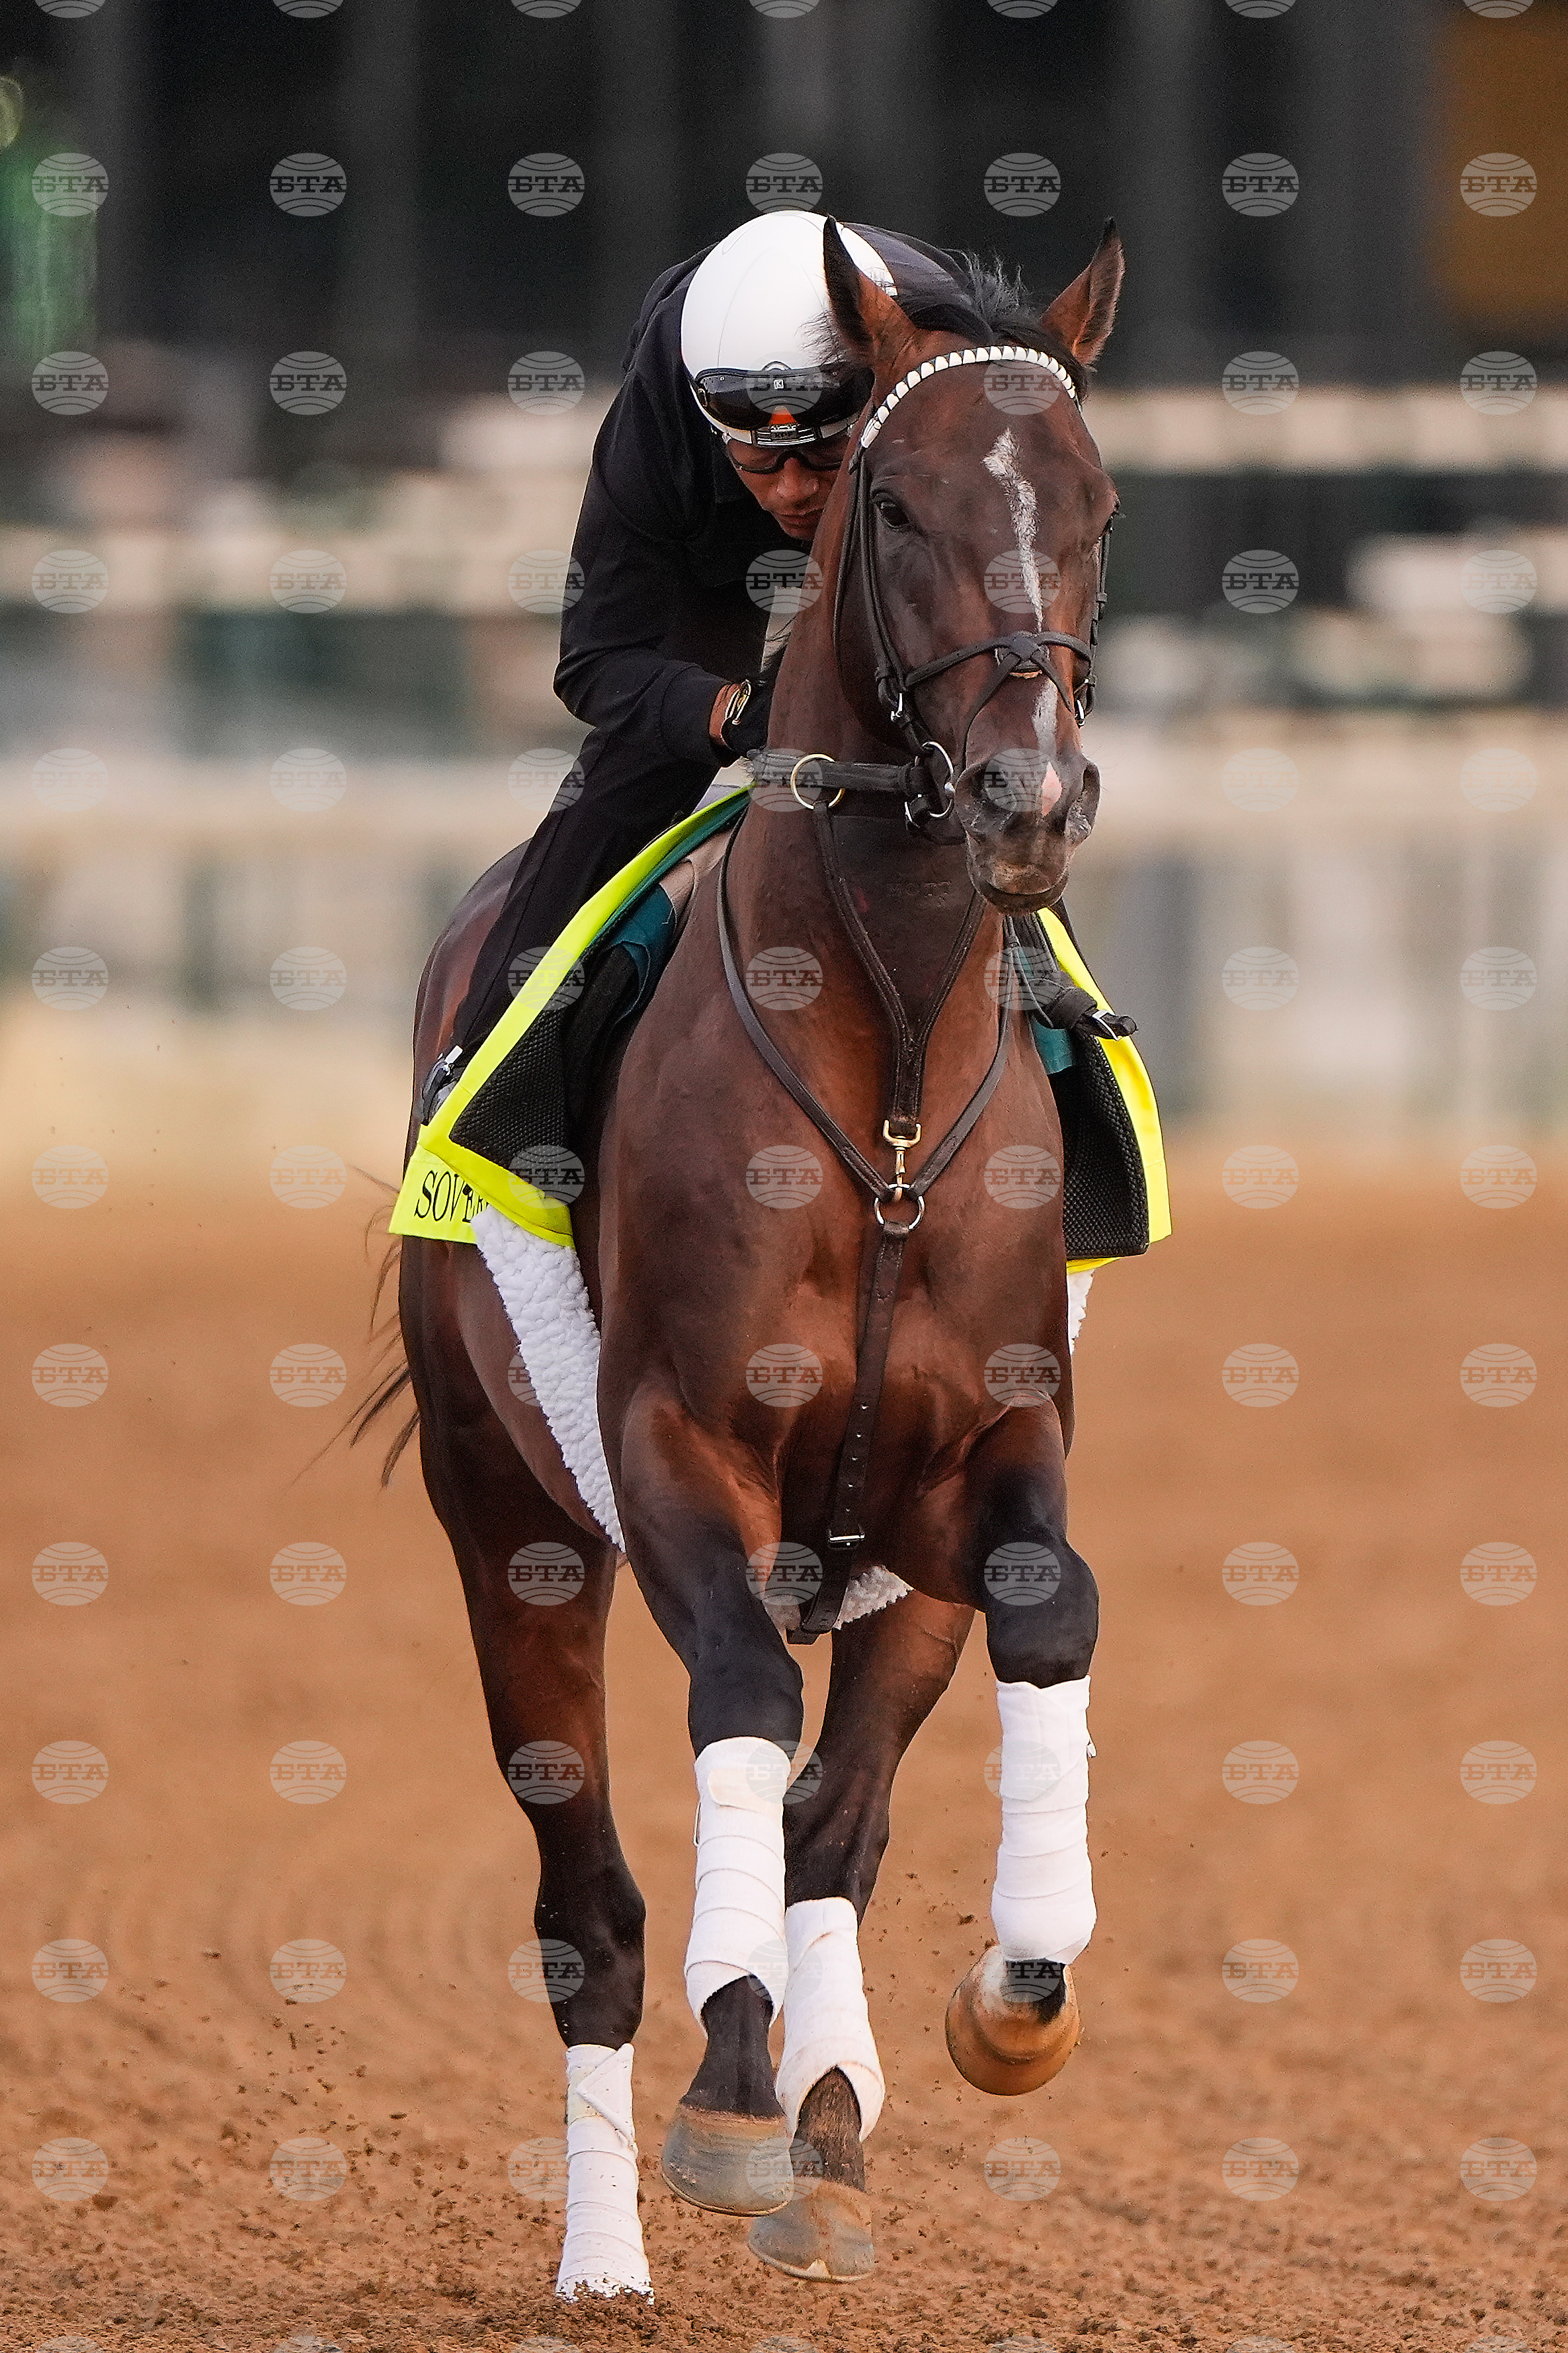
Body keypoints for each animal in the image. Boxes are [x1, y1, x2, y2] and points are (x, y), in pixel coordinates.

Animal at [390, 216, 1126, 2299]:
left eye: (1095, 501)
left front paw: (1012, 1996)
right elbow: (728, 1691)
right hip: (509, 1530)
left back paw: (828, 2111)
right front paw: (723, 2089)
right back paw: (617, 2243)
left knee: (834, 1812)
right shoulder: (674, 1448)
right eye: (893, 502)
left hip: (875, 1573)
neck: (877, 1078)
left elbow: (1046, 1612)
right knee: (595, 1907)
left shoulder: (979, 1463)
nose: (1025, 798)